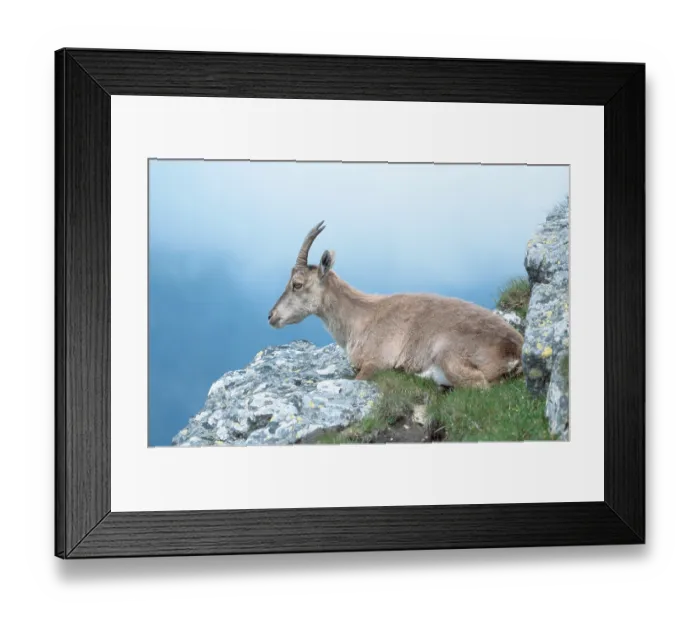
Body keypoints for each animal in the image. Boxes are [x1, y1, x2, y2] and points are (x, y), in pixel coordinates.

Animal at [268, 222, 523, 388]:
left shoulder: (376, 362)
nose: (271, 315)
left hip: (448, 354)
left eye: (297, 284)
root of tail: (513, 351)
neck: (360, 318)